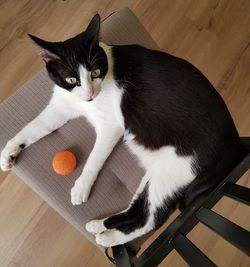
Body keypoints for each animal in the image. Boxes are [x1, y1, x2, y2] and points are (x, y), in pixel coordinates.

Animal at [0, 14, 242, 248]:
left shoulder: (111, 126)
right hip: (159, 171)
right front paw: (8, 153)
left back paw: (108, 238)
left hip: (177, 168)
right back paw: (99, 225)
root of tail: (233, 142)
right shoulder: (61, 106)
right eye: (71, 79)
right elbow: (32, 127)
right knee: (137, 209)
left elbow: (94, 158)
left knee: (150, 220)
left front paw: (81, 187)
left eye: (96, 72)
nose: (89, 94)